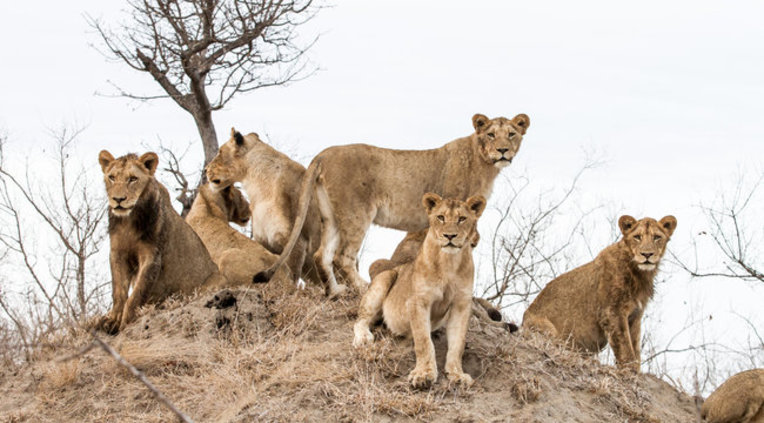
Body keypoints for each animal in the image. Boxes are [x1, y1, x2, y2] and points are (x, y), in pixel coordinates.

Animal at [97, 150, 227, 334]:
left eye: (133, 179)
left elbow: (137, 293)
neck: (129, 220)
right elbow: (118, 291)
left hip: (218, 280)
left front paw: (125, 323)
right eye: (112, 177)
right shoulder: (117, 253)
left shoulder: (152, 255)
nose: (118, 199)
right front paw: (112, 320)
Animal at [204, 130, 324, 292]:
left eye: (220, 152)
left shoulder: (296, 242)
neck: (258, 186)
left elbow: (291, 276)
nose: (206, 170)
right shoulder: (266, 243)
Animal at [356, 194, 486, 390]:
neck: (449, 262)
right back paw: (363, 337)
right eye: (441, 217)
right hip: (385, 277)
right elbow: (423, 340)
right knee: (361, 318)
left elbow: (457, 344)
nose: (450, 235)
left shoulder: (461, 305)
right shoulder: (419, 301)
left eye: (462, 219)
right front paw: (424, 374)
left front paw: (457, 374)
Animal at [524, 215, 676, 372]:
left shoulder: (635, 315)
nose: (647, 254)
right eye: (637, 237)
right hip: (544, 328)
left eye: (657, 237)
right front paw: (630, 370)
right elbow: (625, 347)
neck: (639, 274)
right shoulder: (611, 312)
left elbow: (635, 346)